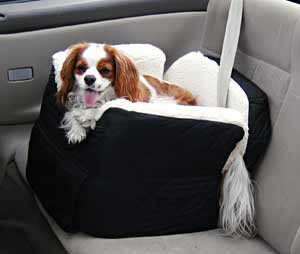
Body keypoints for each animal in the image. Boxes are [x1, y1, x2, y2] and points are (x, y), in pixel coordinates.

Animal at [56, 42, 197, 144]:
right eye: (80, 68)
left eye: (105, 70)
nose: (89, 78)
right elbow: (71, 112)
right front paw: (76, 130)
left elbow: (102, 107)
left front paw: (85, 115)